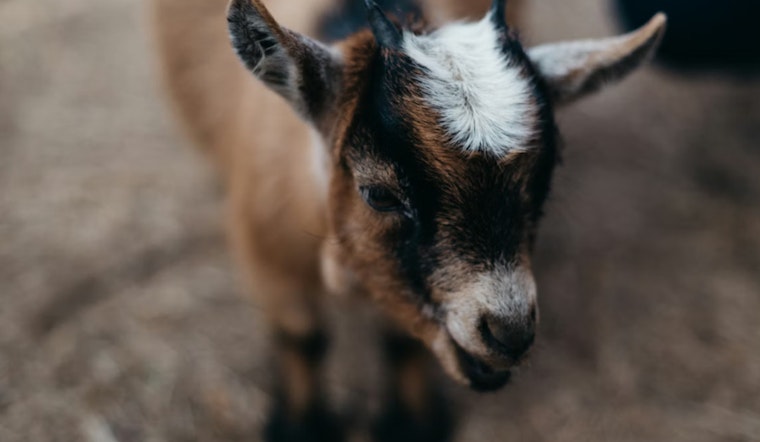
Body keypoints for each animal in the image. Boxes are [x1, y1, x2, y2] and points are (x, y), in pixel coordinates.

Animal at [151, 0, 666, 440]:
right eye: (379, 195)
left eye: (545, 178)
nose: (510, 333)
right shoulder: (265, 252)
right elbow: (303, 337)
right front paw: (303, 429)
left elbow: (400, 341)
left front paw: (409, 425)